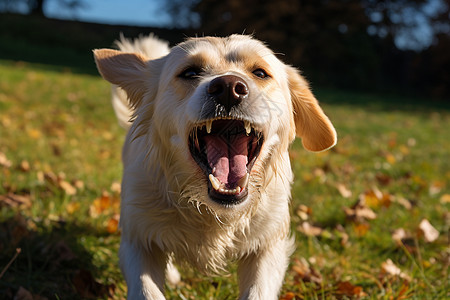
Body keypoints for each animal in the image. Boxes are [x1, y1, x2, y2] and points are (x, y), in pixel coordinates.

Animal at [93, 34, 336, 300]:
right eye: (190, 72)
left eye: (260, 73)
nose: (229, 87)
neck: (213, 213)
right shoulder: (138, 238)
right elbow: (147, 290)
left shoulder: (268, 244)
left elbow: (258, 291)